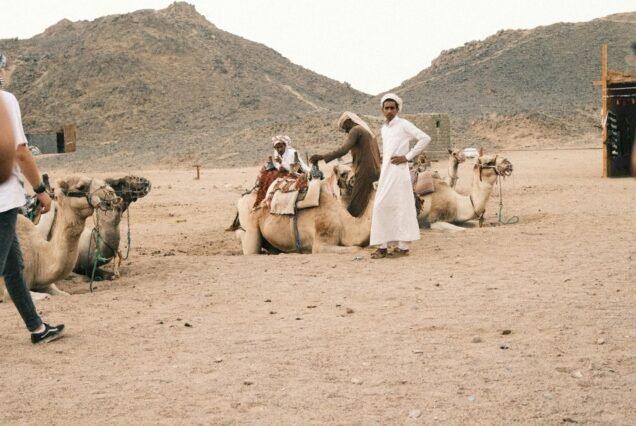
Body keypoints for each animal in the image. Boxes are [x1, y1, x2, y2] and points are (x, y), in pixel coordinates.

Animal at [235, 168, 374, 254]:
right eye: (344, 173)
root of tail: (242, 198)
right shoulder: (321, 242)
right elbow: (356, 248)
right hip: (249, 218)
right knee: (250, 245)